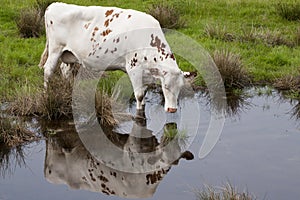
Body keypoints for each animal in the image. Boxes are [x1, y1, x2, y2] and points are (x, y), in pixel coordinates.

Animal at [39, 1, 195, 112]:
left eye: (181, 87)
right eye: (165, 86)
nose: (172, 110)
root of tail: (54, 5)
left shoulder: (145, 74)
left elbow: (144, 93)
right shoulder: (134, 69)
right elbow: (139, 95)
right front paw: (139, 112)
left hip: (69, 54)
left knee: (65, 70)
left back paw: (68, 90)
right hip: (55, 48)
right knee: (48, 70)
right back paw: (46, 94)